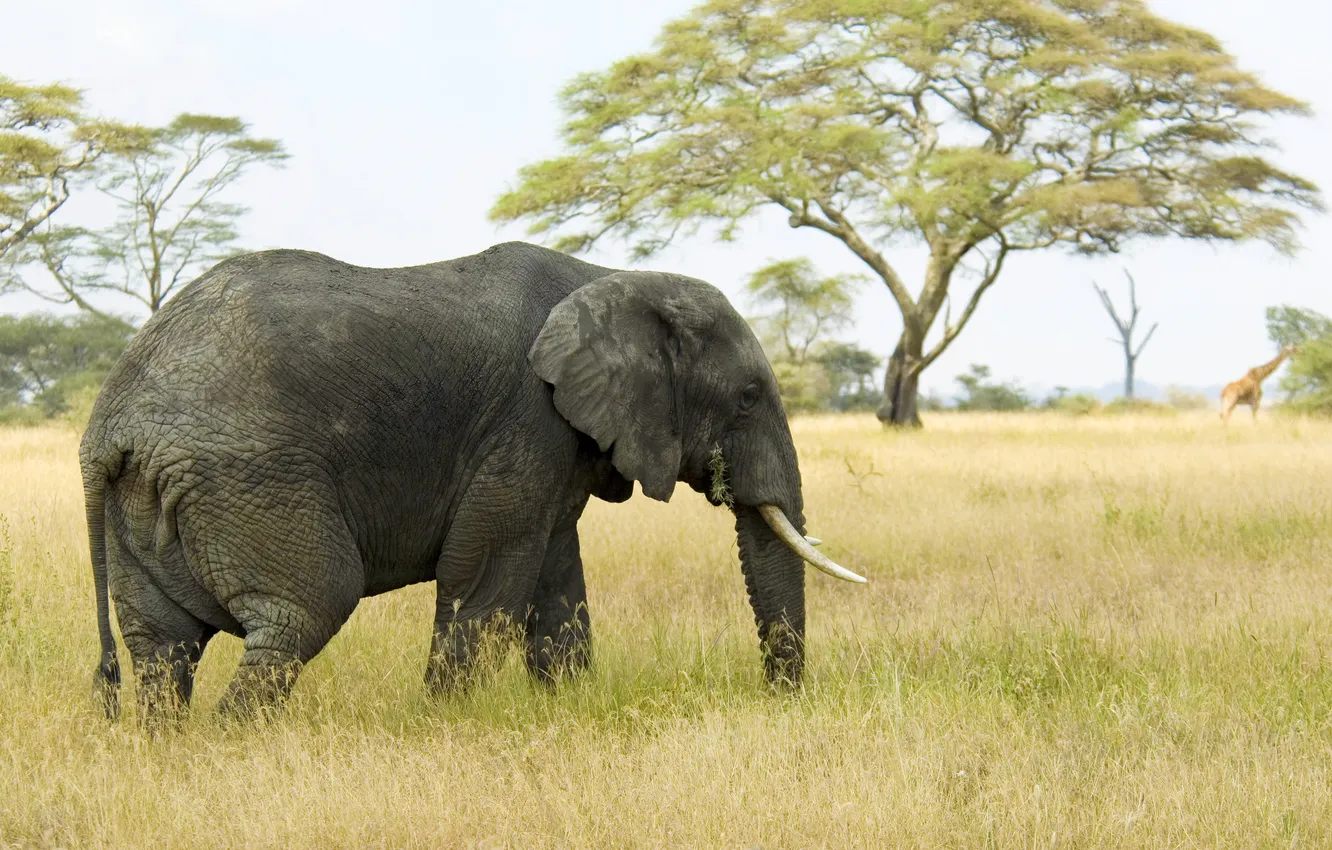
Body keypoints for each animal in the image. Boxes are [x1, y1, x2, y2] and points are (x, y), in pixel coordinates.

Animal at [80, 241, 865, 723]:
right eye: (748, 398)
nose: (780, 700)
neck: (611, 277)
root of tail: (109, 424)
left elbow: (555, 577)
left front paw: (565, 708)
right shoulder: (526, 419)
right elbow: (485, 574)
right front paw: (445, 721)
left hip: (147, 499)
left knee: (163, 647)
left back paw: (171, 749)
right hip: (249, 475)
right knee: (304, 610)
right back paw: (235, 744)